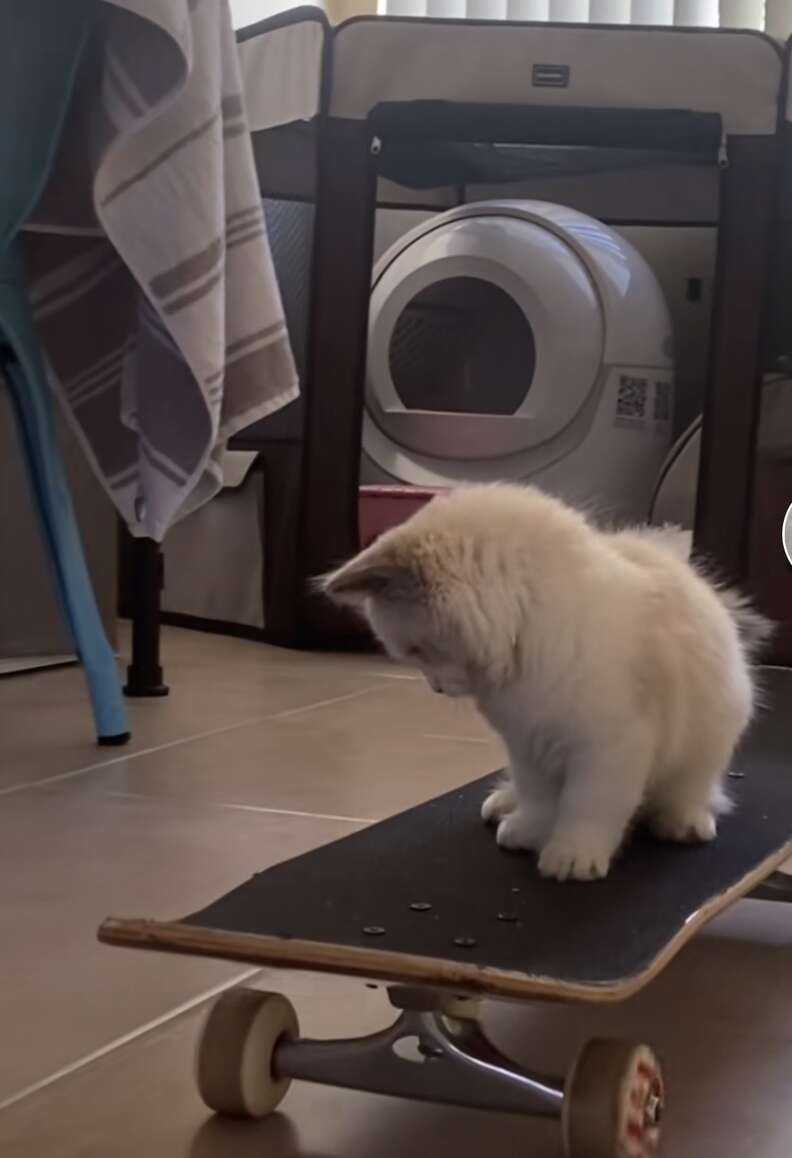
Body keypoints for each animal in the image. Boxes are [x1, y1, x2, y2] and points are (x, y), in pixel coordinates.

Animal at [319, 484, 768, 880]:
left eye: (416, 651)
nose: (436, 688)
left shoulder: (608, 748)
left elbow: (587, 807)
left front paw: (570, 859)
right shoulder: (526, 743)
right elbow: (540, 801)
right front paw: (526, 834)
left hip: (705, 745)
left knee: (692, 792)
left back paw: (684, 825)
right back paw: (502, 806)